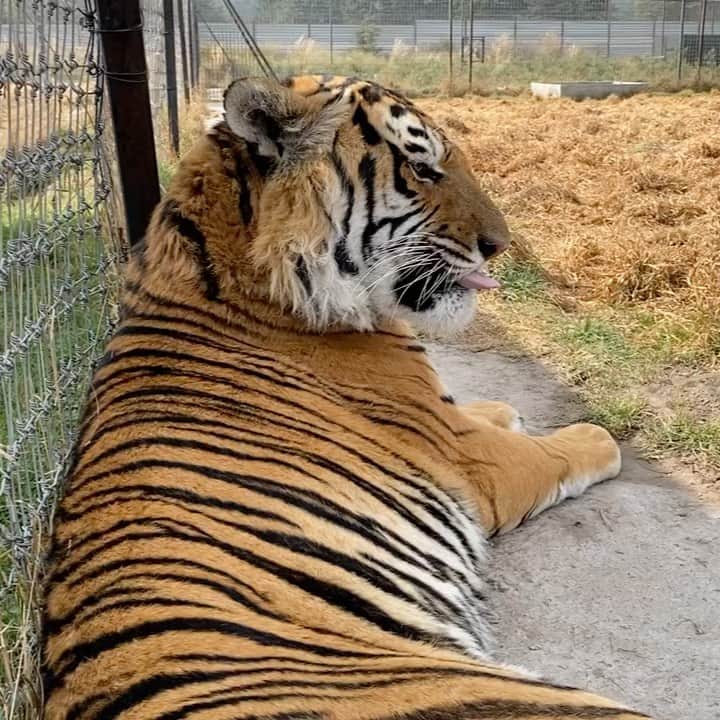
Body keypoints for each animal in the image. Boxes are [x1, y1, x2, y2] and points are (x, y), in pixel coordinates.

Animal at [41, 75, 650, 720]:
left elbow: (479, 408)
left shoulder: (444, 418)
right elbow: (569, 447)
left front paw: (504, 409)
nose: (500, 245)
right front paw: (591, 434)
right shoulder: (470, 459)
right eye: (422, 168)